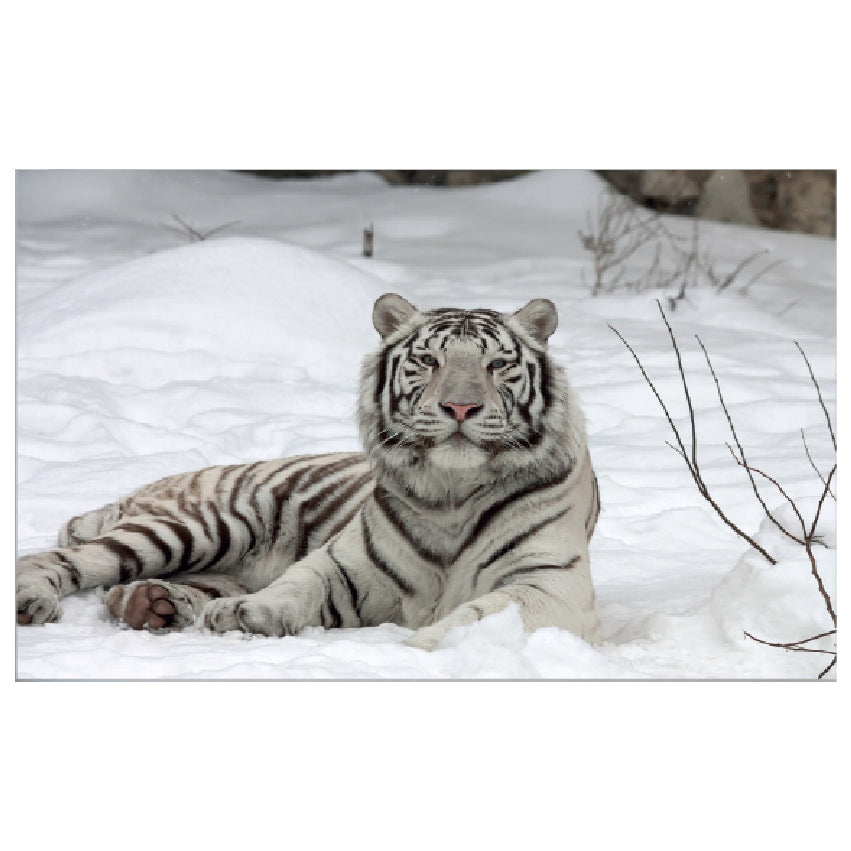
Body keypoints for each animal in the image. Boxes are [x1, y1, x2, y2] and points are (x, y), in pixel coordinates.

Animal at [16, 292, 602, 650]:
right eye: (429, 362)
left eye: (496, 365)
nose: (461, 407)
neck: (452, 490)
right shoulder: (347, 564)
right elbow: (296, 584)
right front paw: (242, 614)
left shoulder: (548, 581)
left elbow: (479, 615)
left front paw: (428, 645)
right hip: (203, 525)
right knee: (59, 558)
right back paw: (34, 601)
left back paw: (152, 605)